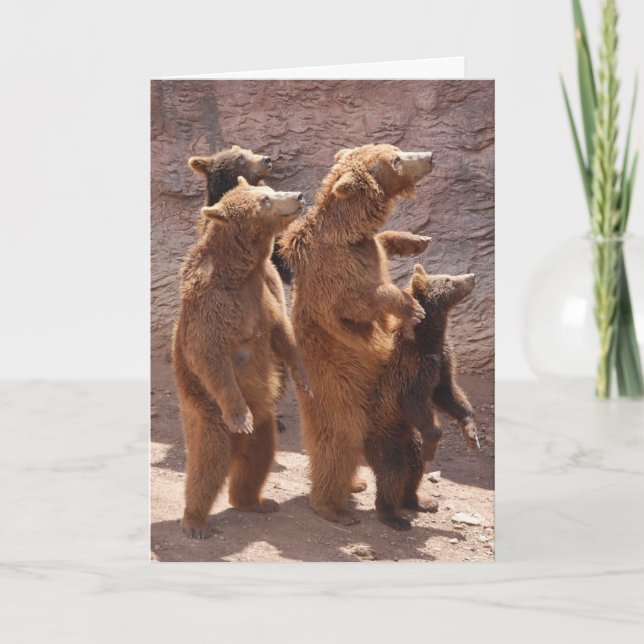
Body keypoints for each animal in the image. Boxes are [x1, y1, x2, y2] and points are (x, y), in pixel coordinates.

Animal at [173, 177, 310, 539]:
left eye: (270, 189)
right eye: (265, 200)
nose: (298, 195)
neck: (242, 270)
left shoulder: (266, 289)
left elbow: (283, 333)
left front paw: (305, 379)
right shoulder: (212, 301)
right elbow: (208, 353)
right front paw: (240, 416)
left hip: (264, 424)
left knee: (258, 456)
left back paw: (256, 501)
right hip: (205, 412)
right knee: (208, 462)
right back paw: (195, 521)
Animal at [279, 143, 435, 525]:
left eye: (397, 150)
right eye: (397, 160)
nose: (429, 156)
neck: (349, 234)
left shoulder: (367, 247)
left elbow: (383, 240)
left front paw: (416, 239)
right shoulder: (337, 273)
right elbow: (360, 302)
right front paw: (412, 306)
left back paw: (362, 486)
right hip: (339, 390)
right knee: (338, 442)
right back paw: (333, 507)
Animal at [364, 264, 480, 531]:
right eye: (448, 279)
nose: (471, 276)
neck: (428, 336)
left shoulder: (441, 360)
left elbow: (448, 393)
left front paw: (471, 434)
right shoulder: (409, 367)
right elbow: (414, 401)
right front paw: (433, 447)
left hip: (408, 434)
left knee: (413, 465)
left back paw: (419, 500)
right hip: (384, 433)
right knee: (393, 469)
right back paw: (392, 515)